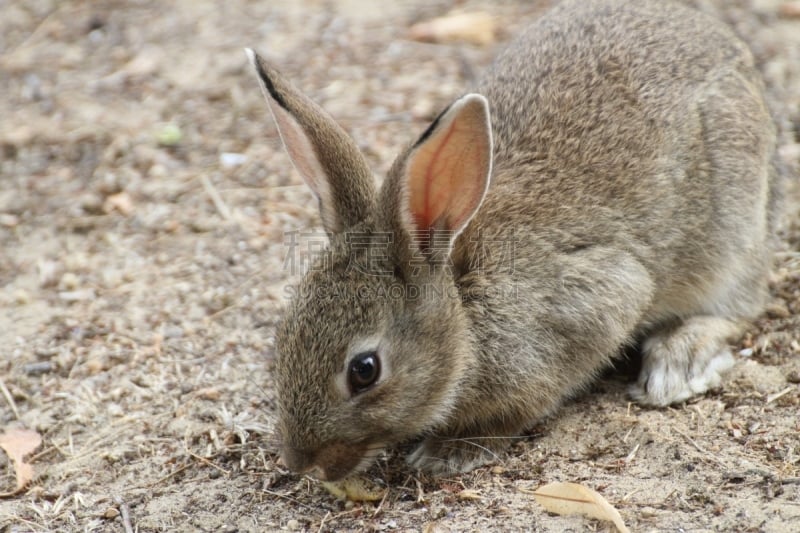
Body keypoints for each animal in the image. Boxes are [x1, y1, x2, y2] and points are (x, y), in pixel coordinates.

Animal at [245, 0, 780, 482]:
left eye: (364, 370)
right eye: (282, 335)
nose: (301, 463)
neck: (463, 313)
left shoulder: (593, 303)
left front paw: (448, 452)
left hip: (733, 227)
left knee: (740, 305)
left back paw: (678, 361)